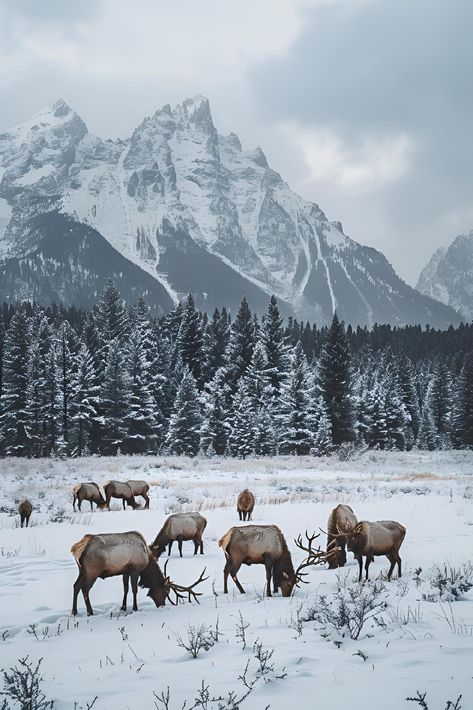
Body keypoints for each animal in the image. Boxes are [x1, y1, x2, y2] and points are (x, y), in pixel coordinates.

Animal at [70, 532, 206, 616]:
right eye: (166, 592)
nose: (162, 606)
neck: (147, 562)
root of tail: (77, 549)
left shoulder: (125, 571)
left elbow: (125, 589)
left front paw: (123, 607)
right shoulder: (135, 569)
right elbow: (134, 589)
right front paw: (135, 608)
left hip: (82, 571)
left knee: (76, 586)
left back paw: (74, 612)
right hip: (92, 571)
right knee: (85, 589)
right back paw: (90, 612)